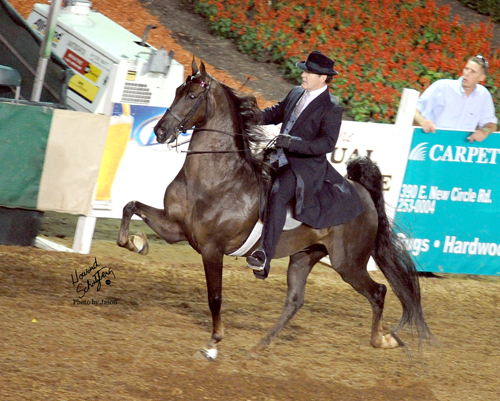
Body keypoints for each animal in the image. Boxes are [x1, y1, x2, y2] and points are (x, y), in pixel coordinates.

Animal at [119, 57, 432, 360]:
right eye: (176, 92)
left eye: (193, 96)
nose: (160, 131)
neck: (215, 178)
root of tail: (363, 194)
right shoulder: (176, 228)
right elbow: (130, 207)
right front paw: (137, 242)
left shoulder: (212, 249)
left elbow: (215, 297)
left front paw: (213, 344)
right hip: (305, 256)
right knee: (295, 301)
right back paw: (259, 347)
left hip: (348, 263)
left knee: (378, 292)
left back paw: (384, 340)